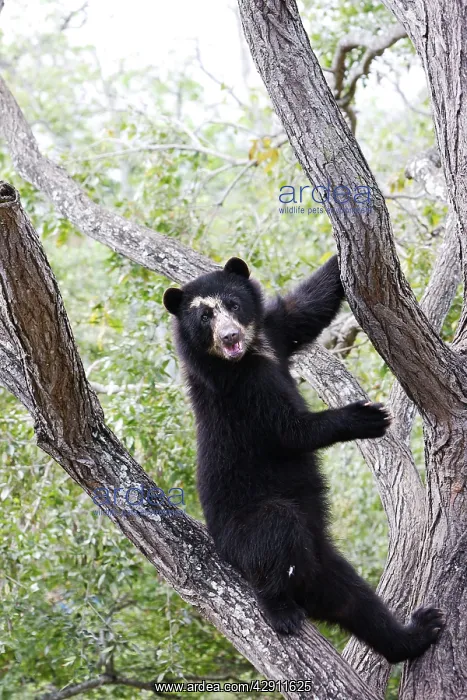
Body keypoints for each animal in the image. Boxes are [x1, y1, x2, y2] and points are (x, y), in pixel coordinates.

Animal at [163, 255, 443, 662]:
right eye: (204, 317)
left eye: (233, 304)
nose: (230, 337)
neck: (250, 355)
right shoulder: (241, 391)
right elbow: (289, 430)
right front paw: (367, 416)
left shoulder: (276, 332)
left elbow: (308, 307)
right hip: (245, 532)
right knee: (276, 529)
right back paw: (280, 609)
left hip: (327, 565)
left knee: (358, 604)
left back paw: (418, 631)